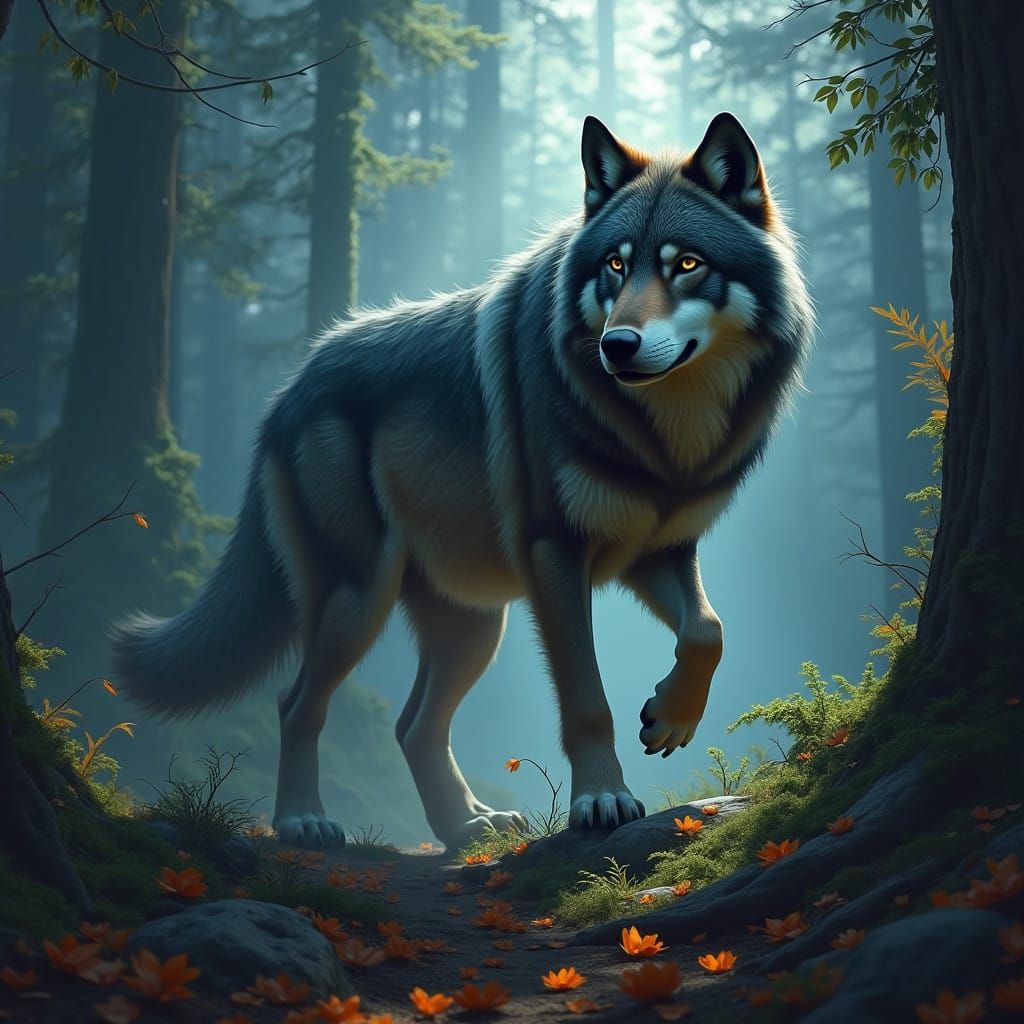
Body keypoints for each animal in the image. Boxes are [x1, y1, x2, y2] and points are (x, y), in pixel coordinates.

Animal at [111, 113, 812, 850]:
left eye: (687, 264)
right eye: (616, 265)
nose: (616, 345)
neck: (665, 435)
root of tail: (290, 389)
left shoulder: (658, 552)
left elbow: (709, 629)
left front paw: (670, 717)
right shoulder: (555, 554)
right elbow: (587, 699)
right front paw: (602, 800)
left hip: (475, 622)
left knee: (412, 726)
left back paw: (468, 827)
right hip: (361, 597)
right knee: (296, 701)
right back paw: (304, 819)